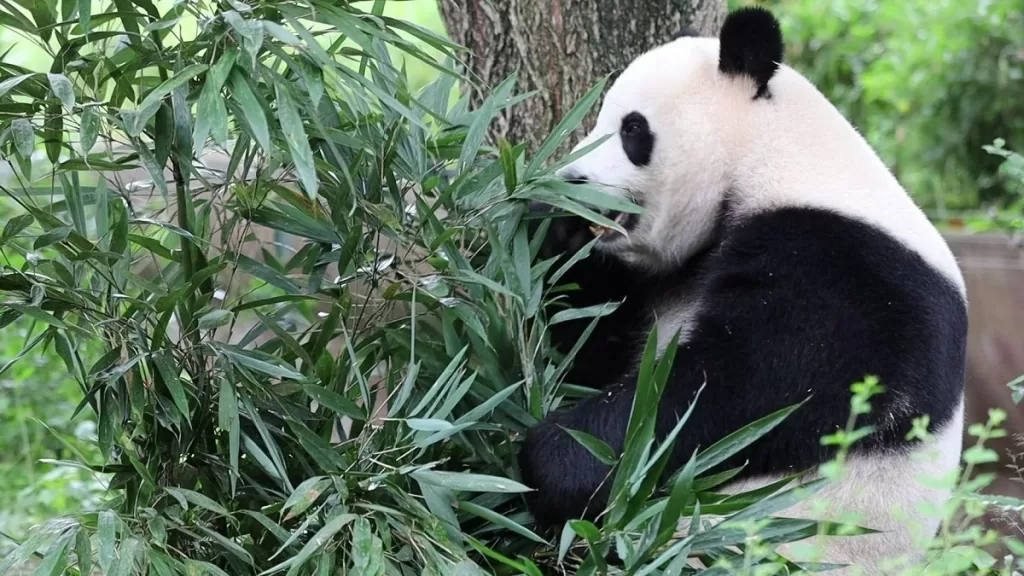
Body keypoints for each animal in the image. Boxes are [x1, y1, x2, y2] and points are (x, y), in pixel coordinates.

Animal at [518, 6, 968, 572]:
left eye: (632, 129)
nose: (572, 181)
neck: (776, 156)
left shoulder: (845, 272)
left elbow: (733, 390)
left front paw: (554, 456)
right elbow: (589, 343)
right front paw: (555, 228)